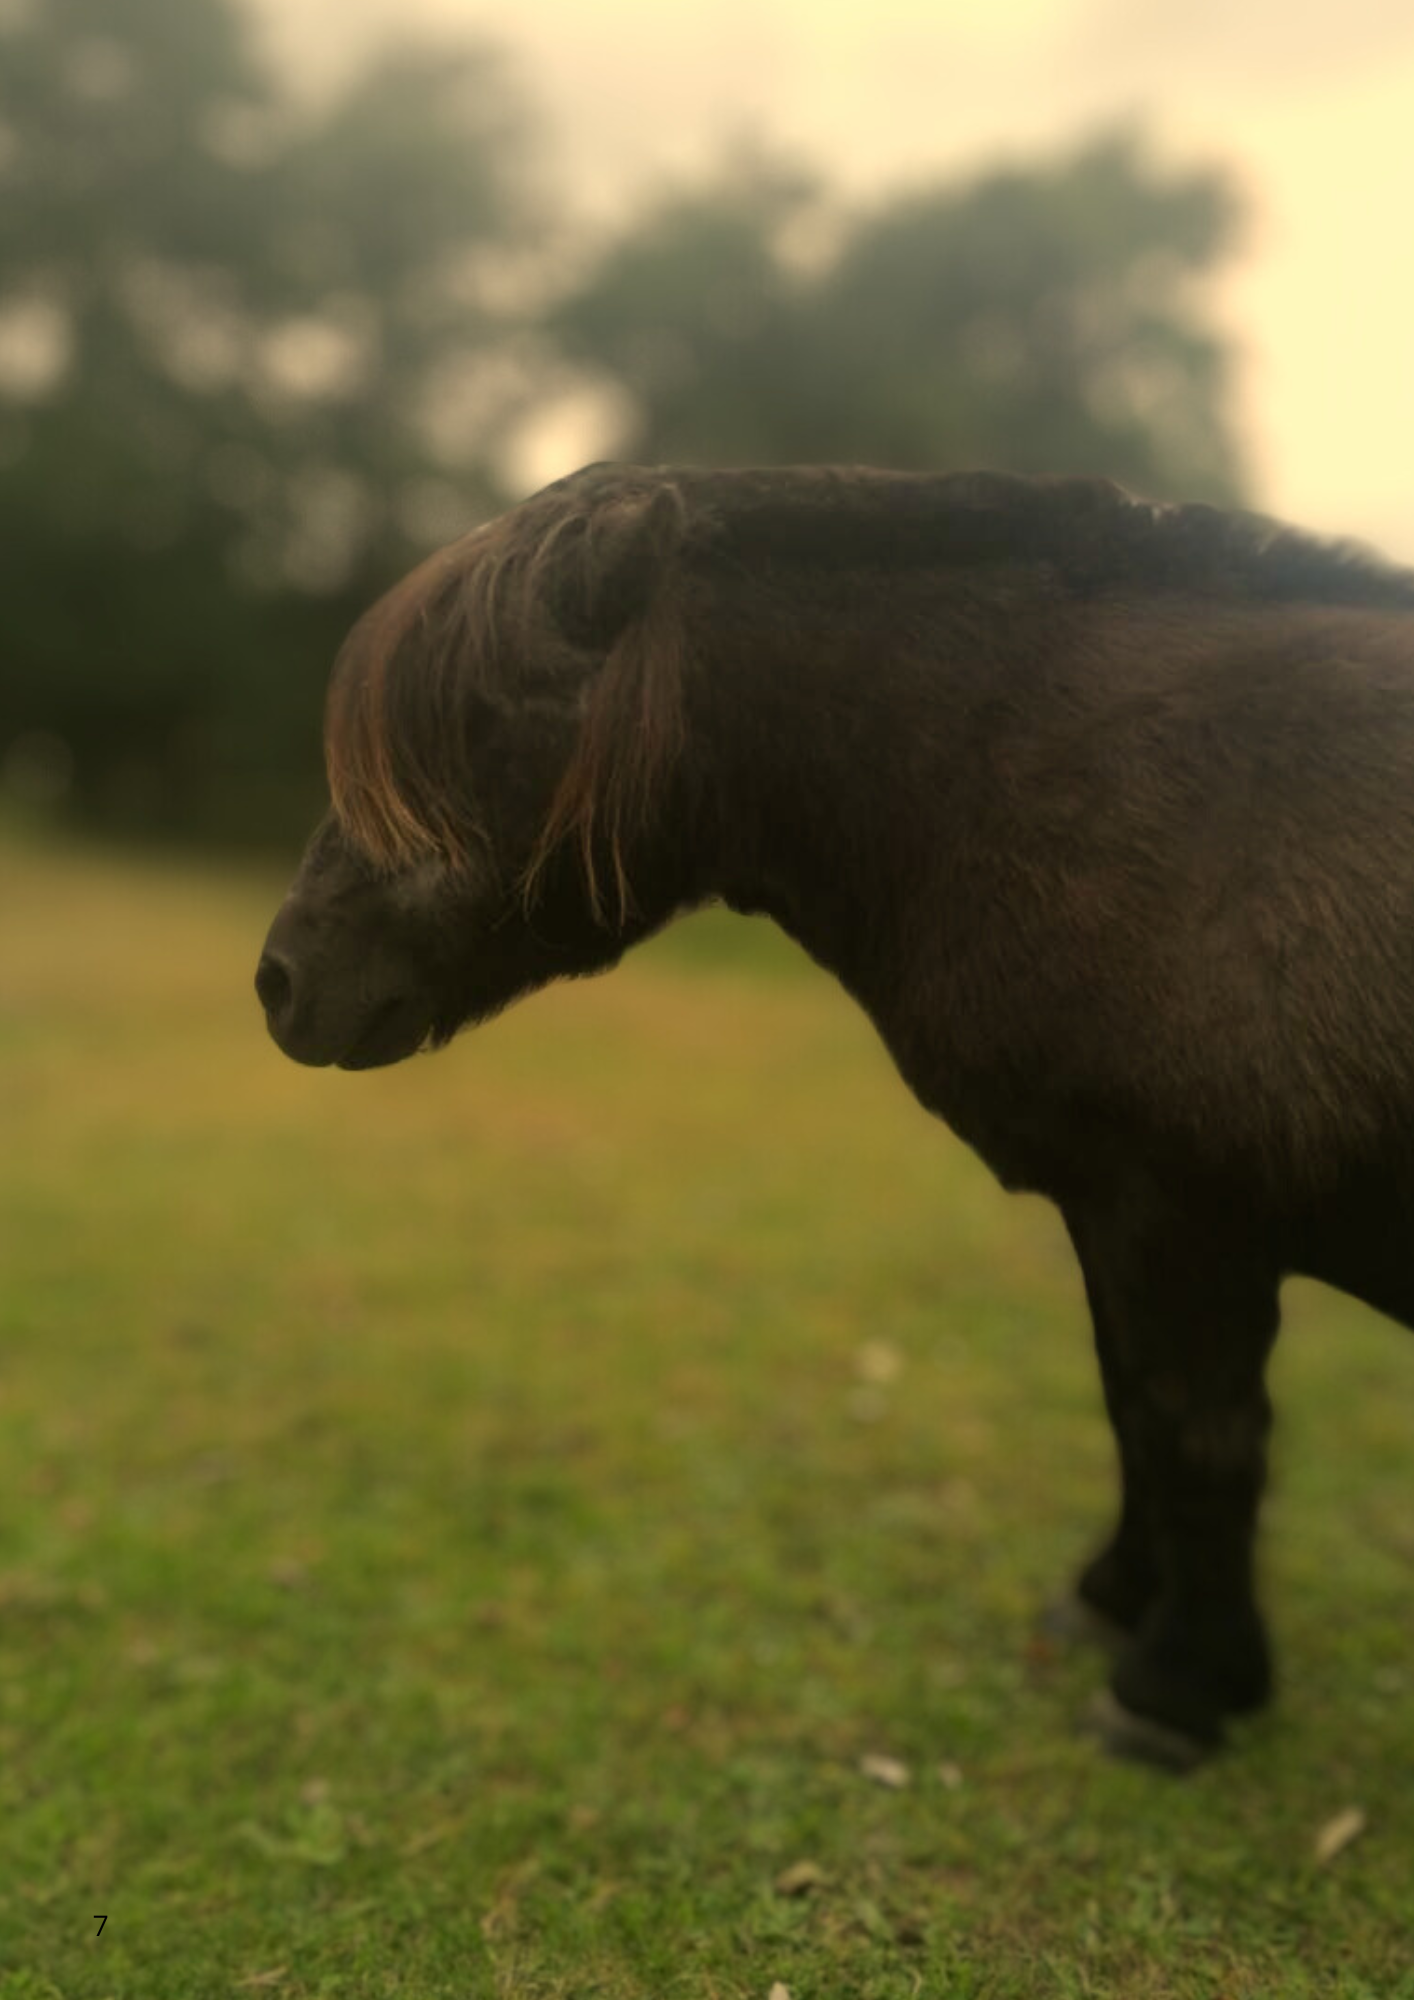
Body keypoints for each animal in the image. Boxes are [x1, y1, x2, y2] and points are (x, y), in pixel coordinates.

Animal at [258, 464, 1414, 1768]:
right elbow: (1130, 1403)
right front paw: (1114, 1601)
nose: (281, 981)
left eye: (480, 720)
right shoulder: (1115, 1211)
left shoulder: (1181, 1219)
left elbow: (1196, 1432)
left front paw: (1173, 1688)